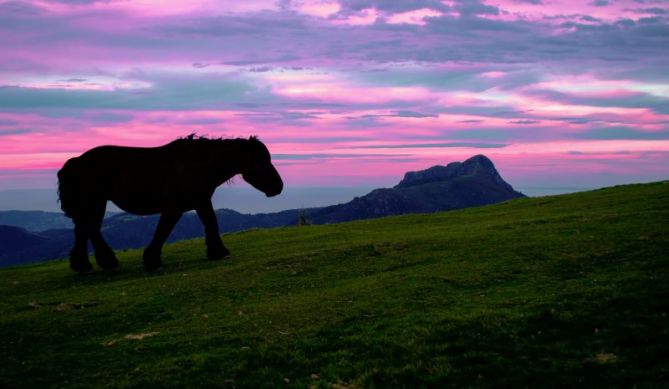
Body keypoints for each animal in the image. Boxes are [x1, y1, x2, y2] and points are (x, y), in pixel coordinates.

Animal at [58, 135, 284, 272]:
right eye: (262, 161)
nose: (278, 187)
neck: (198, 164)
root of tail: (76, 161)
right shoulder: (174, 207)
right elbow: (163, 230)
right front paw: (152, 260)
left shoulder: (201, 202)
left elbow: (211, 223)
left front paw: (218, 252)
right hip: (94, 202)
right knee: (89, 228)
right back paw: (105, 262)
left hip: (94, 203)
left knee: (85, 229)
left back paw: (84, 265)